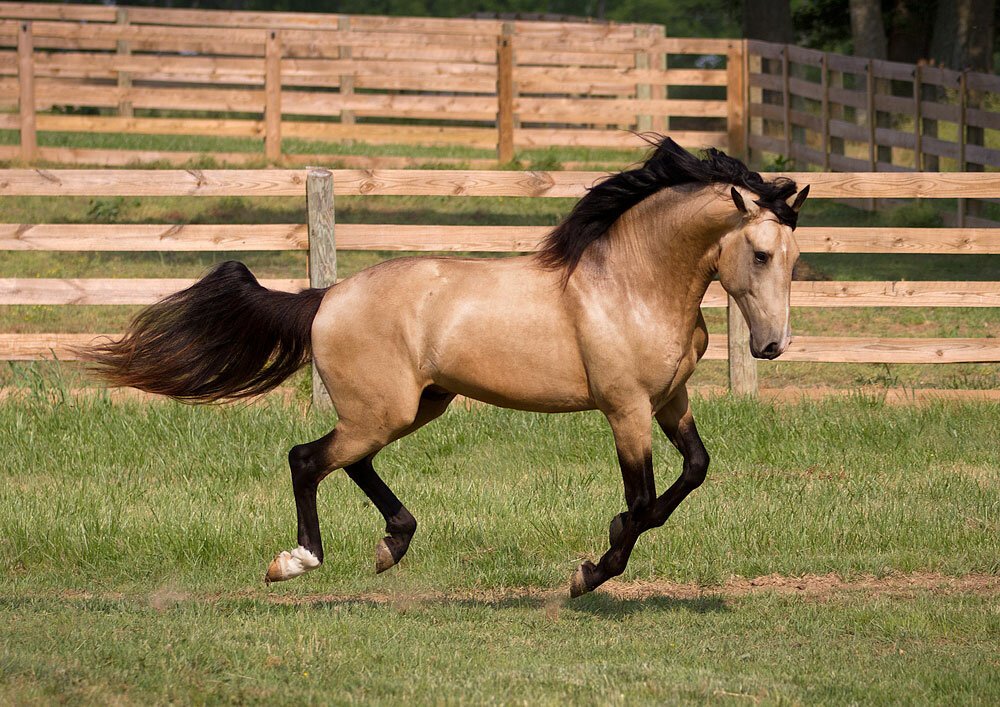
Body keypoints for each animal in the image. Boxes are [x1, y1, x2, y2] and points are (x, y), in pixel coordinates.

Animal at [82, 136, 808, 596]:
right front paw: (590, 571)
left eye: (795, 256)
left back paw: (392, 542)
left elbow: (692, 471)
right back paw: (298, 560)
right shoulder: (625, 408)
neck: (631, 285)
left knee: (348, 461)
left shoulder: (669, 400)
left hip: (413, 406)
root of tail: (326, 297)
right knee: (307, 458)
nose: (771, 345)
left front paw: (605, 546)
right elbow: (642, 499)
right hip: (386, 409)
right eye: (761, 254)